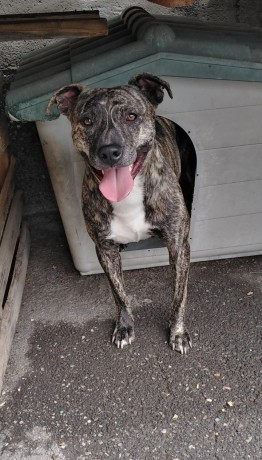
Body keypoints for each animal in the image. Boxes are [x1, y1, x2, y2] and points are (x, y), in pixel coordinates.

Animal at [48, 72, 192, 354]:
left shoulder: (179, 246)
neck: (129, 195)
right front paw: (124, 327)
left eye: (131, 116)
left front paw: (178, 332)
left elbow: (178, 295)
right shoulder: (105, 250)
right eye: (87, 120)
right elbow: (118, 293)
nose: (109, 151)